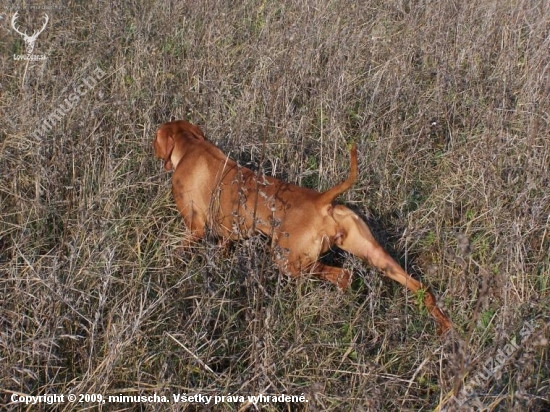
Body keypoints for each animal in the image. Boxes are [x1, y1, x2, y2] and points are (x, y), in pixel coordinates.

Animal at [154, 120, 452, 334]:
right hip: (376, 255)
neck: (192, 146)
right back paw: (443, 326)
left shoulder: (195, 228)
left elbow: (180, 250)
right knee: (420, 287)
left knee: (342, 276)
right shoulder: (228, 234)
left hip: (287, 259)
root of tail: (323, 201)